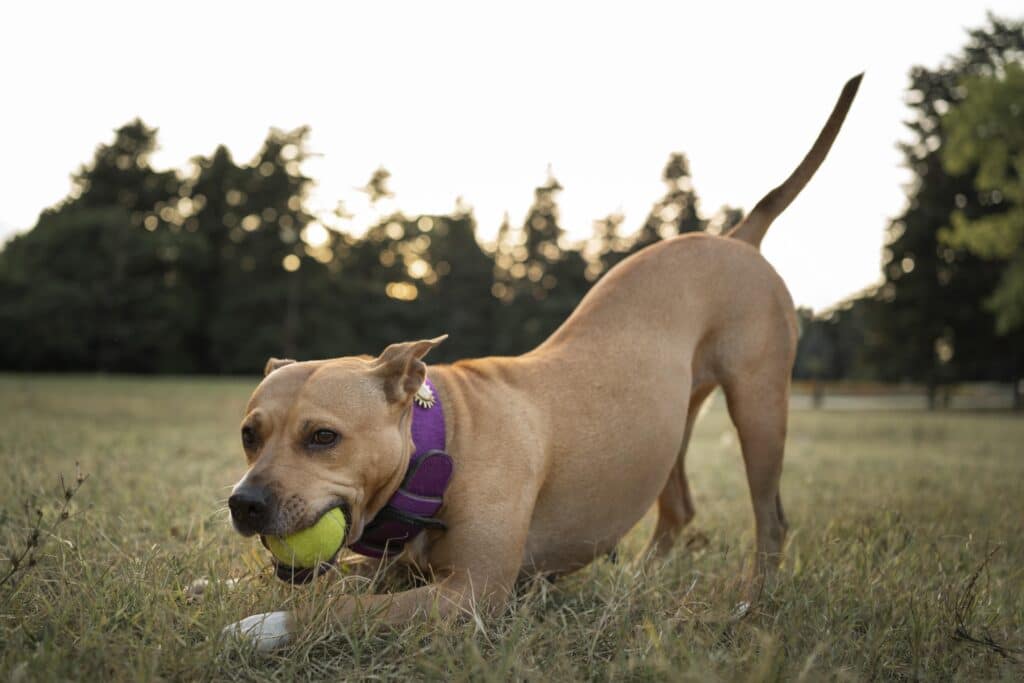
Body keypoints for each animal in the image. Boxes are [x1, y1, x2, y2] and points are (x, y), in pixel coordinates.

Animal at [224, 74, 864, 651]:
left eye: (323, 437)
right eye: (249, 436)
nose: (244, 503)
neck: (440, 442)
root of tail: (737, 237)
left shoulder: (470, 593)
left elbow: (342, 609)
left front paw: (263, 626)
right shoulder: (399, 569)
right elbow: (320, 584)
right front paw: (224, 587)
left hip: (759, 405)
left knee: (771, 518)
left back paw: (752, 603)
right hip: (672, 423)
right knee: (679, 509)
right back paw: (640, 585)